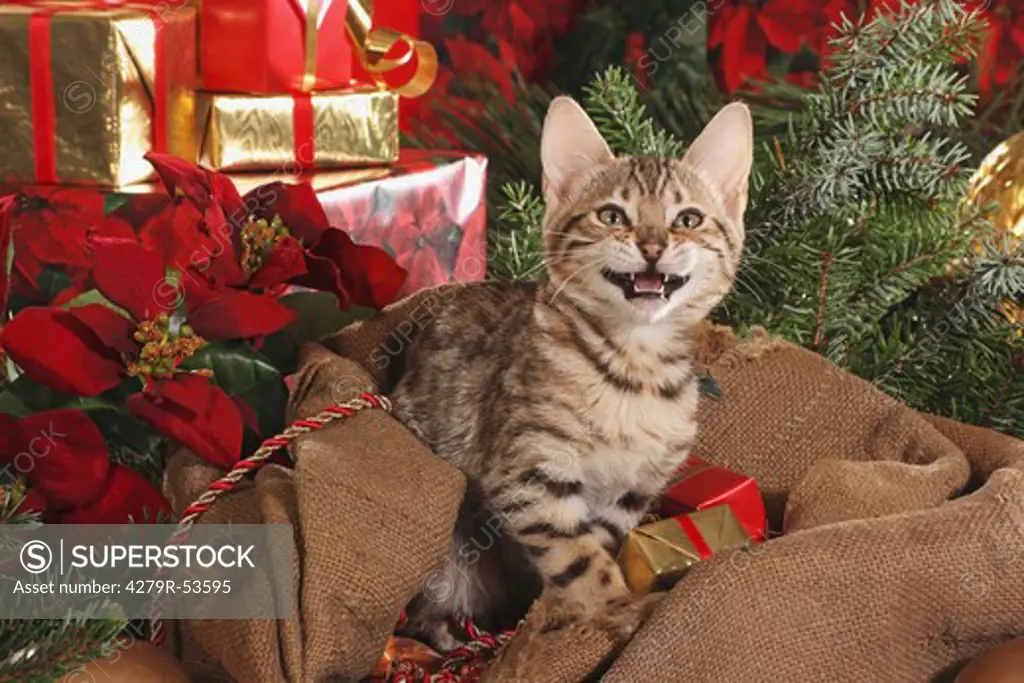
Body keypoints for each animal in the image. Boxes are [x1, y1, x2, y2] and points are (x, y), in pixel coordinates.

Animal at [391, 96, 753, 651]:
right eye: (612, 215)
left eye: (688, 219)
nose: (652, 246)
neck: (634, 369)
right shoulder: (530, 471)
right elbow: (577, 556)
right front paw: (614, 607)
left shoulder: (631, 492)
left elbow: (598, 542)